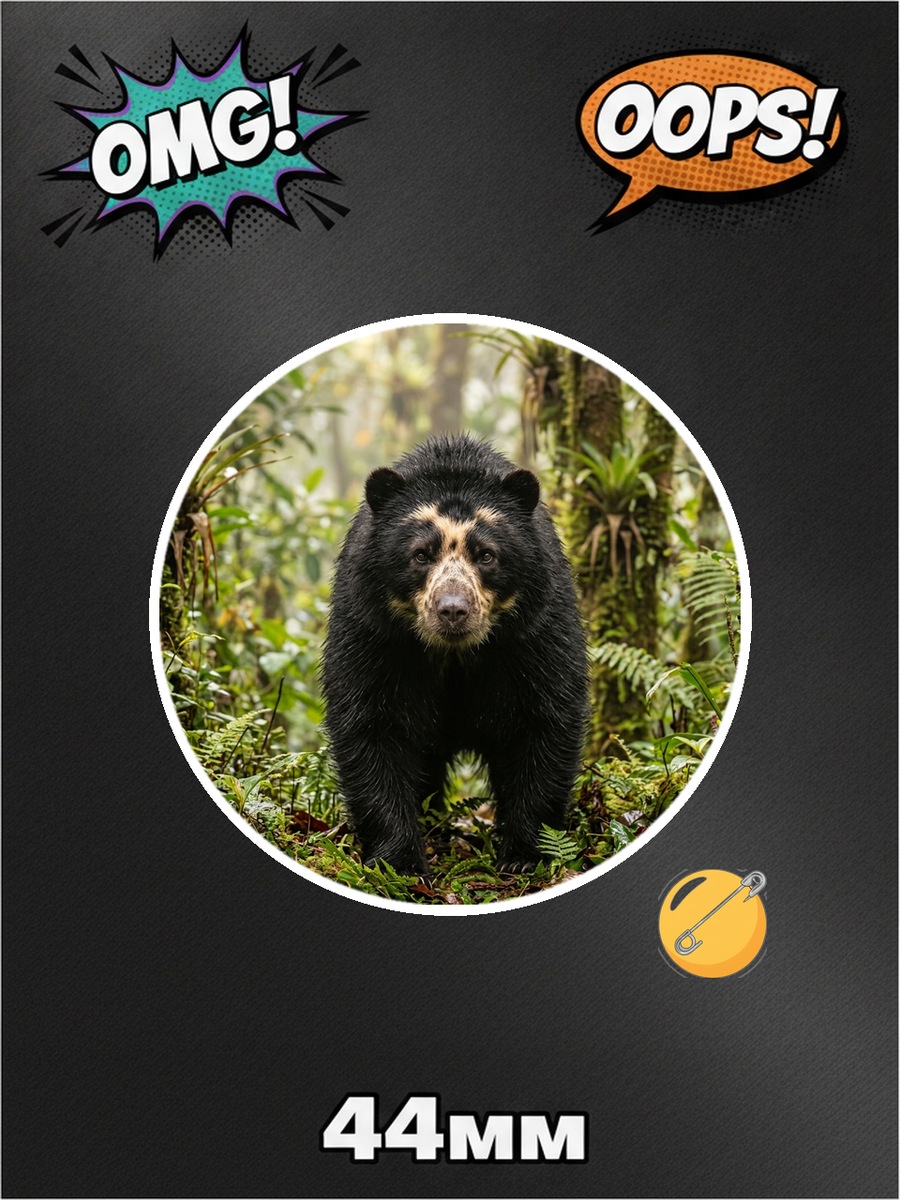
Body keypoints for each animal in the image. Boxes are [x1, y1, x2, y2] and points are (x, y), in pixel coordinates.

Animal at [321, 433, 588, 877]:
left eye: (486, 555)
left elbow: (543, 720)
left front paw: (524, 856)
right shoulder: (373, 632)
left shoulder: (535, 631)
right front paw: (401, 863)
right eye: (420, 555)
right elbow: (371, 724)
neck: (454, 653)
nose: (452, 610)